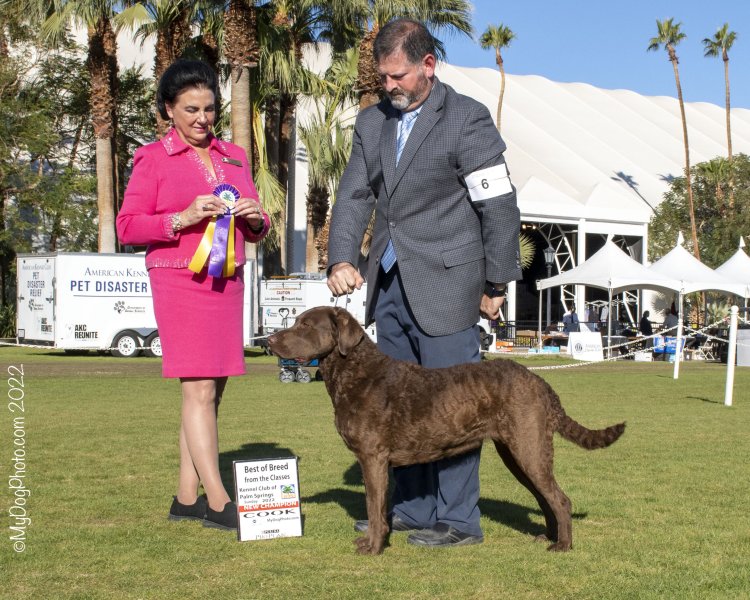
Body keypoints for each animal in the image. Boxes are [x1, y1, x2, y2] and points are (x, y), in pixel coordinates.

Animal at [268, 308, 624, 556]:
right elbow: (380, 507)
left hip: (529, 448)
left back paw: (563, 545)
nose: (270, 340)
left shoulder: (372, 457)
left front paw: (373, 547)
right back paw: (548, 536)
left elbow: (373, 505)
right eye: (295, 321)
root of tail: (541, 383)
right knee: (545, 497)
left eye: (305, 325)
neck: (355, 373)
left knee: (560, 499)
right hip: (517, 452)